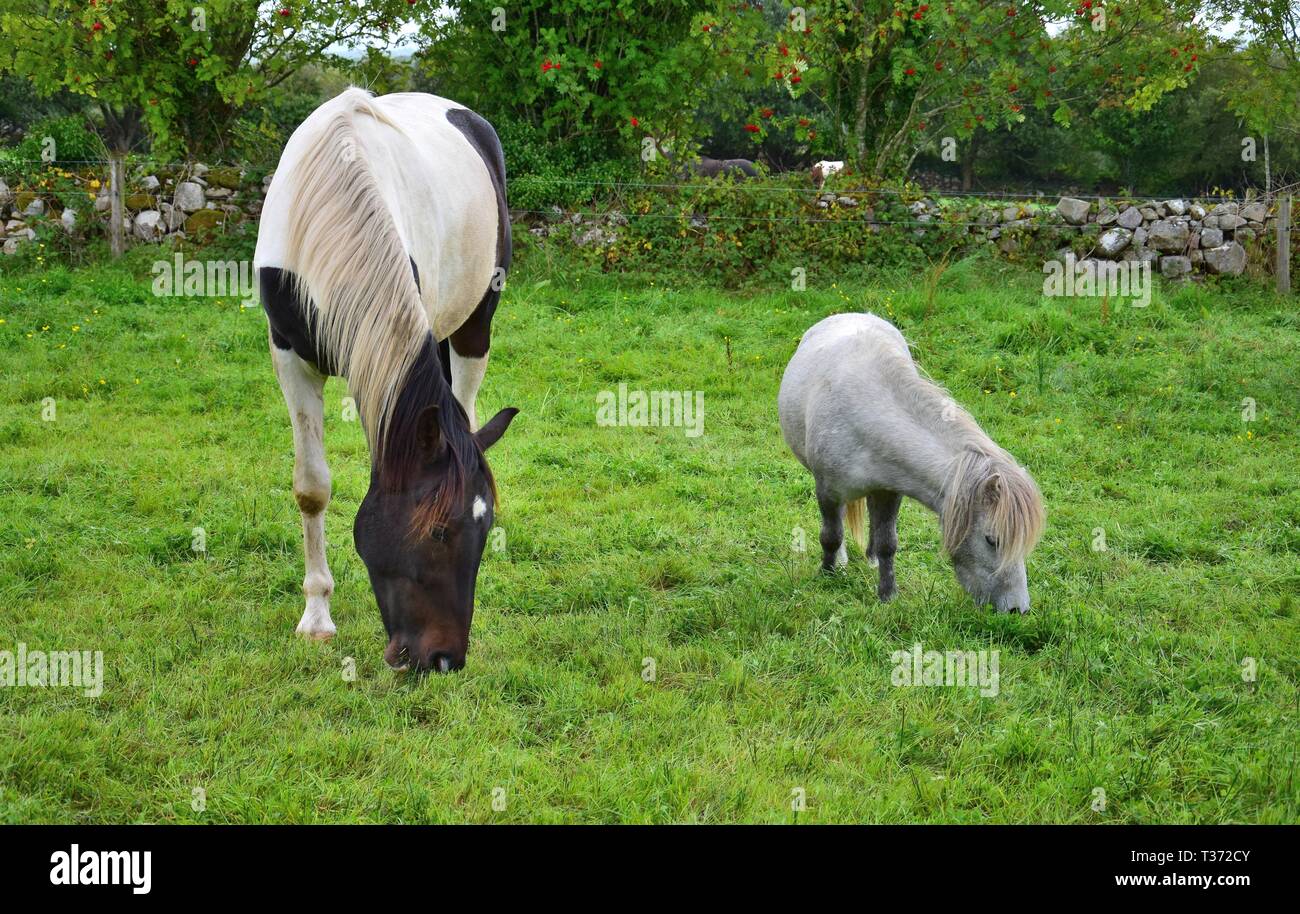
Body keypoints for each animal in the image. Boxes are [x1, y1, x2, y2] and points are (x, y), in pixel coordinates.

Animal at [253, 87, 517, 670]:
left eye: (485, 529)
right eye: (439, 531)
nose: (444, 660)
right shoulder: (289, 356)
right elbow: (312, 488)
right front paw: (317, 617)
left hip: (473, 324)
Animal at [780, 314, 1045, 613]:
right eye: (992, 540)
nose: (1018, 609)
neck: (866, 415)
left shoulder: (889, 491)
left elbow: (888, 543)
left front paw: (887, 594)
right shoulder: (827, 491)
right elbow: (831, 535)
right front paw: (827, 575)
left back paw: (870, 559)